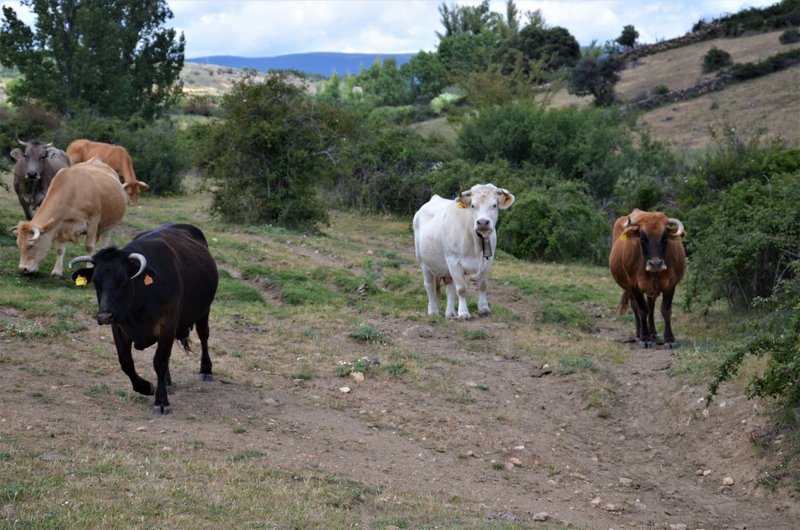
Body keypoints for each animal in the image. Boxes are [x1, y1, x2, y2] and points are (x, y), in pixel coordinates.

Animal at [69, 223, 217, 412]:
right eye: (96, 282)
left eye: (123, 280)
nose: (104, 315)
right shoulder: (118, 326)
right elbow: (126, 362)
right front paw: (146, 387)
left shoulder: (168, 325)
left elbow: (160, 361)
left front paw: (161, 401)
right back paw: (167, 382)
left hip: (204, 309)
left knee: (203, 334)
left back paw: (205, 370)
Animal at [416, 184, 516, 318]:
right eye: (473, 205)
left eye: (494, 205)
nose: (482, 222)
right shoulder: (453, 261)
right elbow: (462, 289)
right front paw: (463, 313)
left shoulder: (488, 261)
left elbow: (483, 285)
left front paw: (484, 308)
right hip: (423, 262)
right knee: (429, 286)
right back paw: (433, 311)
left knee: (449, 287)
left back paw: (450, 313)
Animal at [608, 208, 684, 348]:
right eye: (643, 239)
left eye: (664, 238)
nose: (656, 263)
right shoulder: (634, 285)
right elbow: (642, 310)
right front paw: (644, 338)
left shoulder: (671, 284)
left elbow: (666, 310)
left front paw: (669, 339)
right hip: (629, 288)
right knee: (636, 307)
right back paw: (639, 334)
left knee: (651, 305)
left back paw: (652, 333)